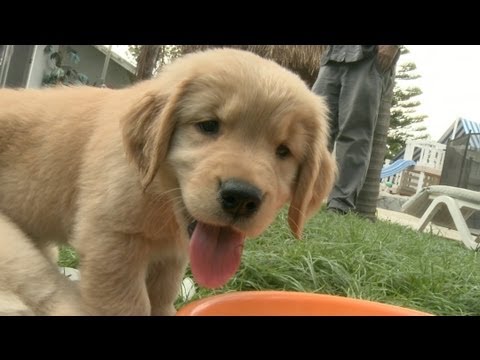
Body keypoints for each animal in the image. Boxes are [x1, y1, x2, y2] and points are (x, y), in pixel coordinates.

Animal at [0, 48, 338, 316]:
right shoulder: (110, 240)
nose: (241, 197)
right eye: (209, 126)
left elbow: (162, 298)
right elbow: (128, 305)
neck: (160, 196)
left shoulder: (171, 256)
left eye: (284, 151)